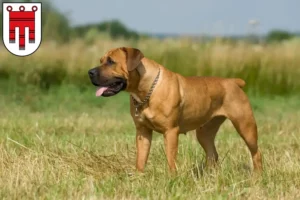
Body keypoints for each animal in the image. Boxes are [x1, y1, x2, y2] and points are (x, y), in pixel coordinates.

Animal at [87, 47, 262, 173]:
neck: (147, 90)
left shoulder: (170, 131)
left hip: (245, 126)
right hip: (205, 132)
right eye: (101, 60)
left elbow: (171, 159)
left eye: (111, 61)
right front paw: (138, 177)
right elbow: (141, 158)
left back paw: (257, 177)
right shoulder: (142, 132)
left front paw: (172, 178)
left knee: (256, 153)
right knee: (213, 154)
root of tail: (233, 81)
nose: (90, 72)